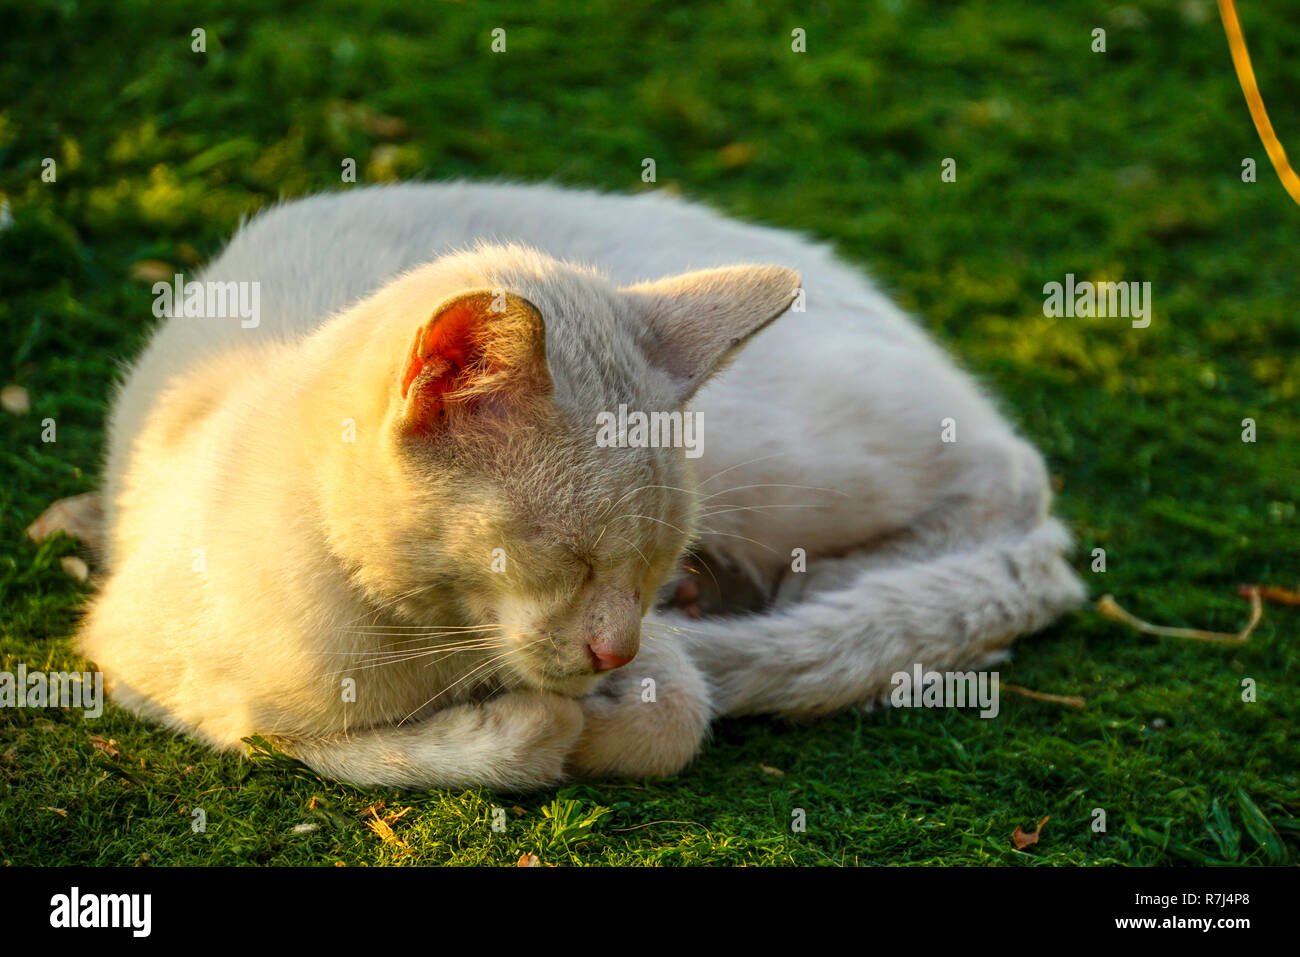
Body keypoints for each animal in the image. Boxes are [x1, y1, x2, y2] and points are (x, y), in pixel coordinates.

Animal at [71, 183, 1086, 790]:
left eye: (653, 565)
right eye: (564, 556)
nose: (617, 647)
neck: (424, 637)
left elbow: (678, 711)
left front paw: (603, 714)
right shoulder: (157, 674)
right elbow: (337, 746)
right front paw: (523, 729)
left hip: (777, 448)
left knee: (1024, 511)